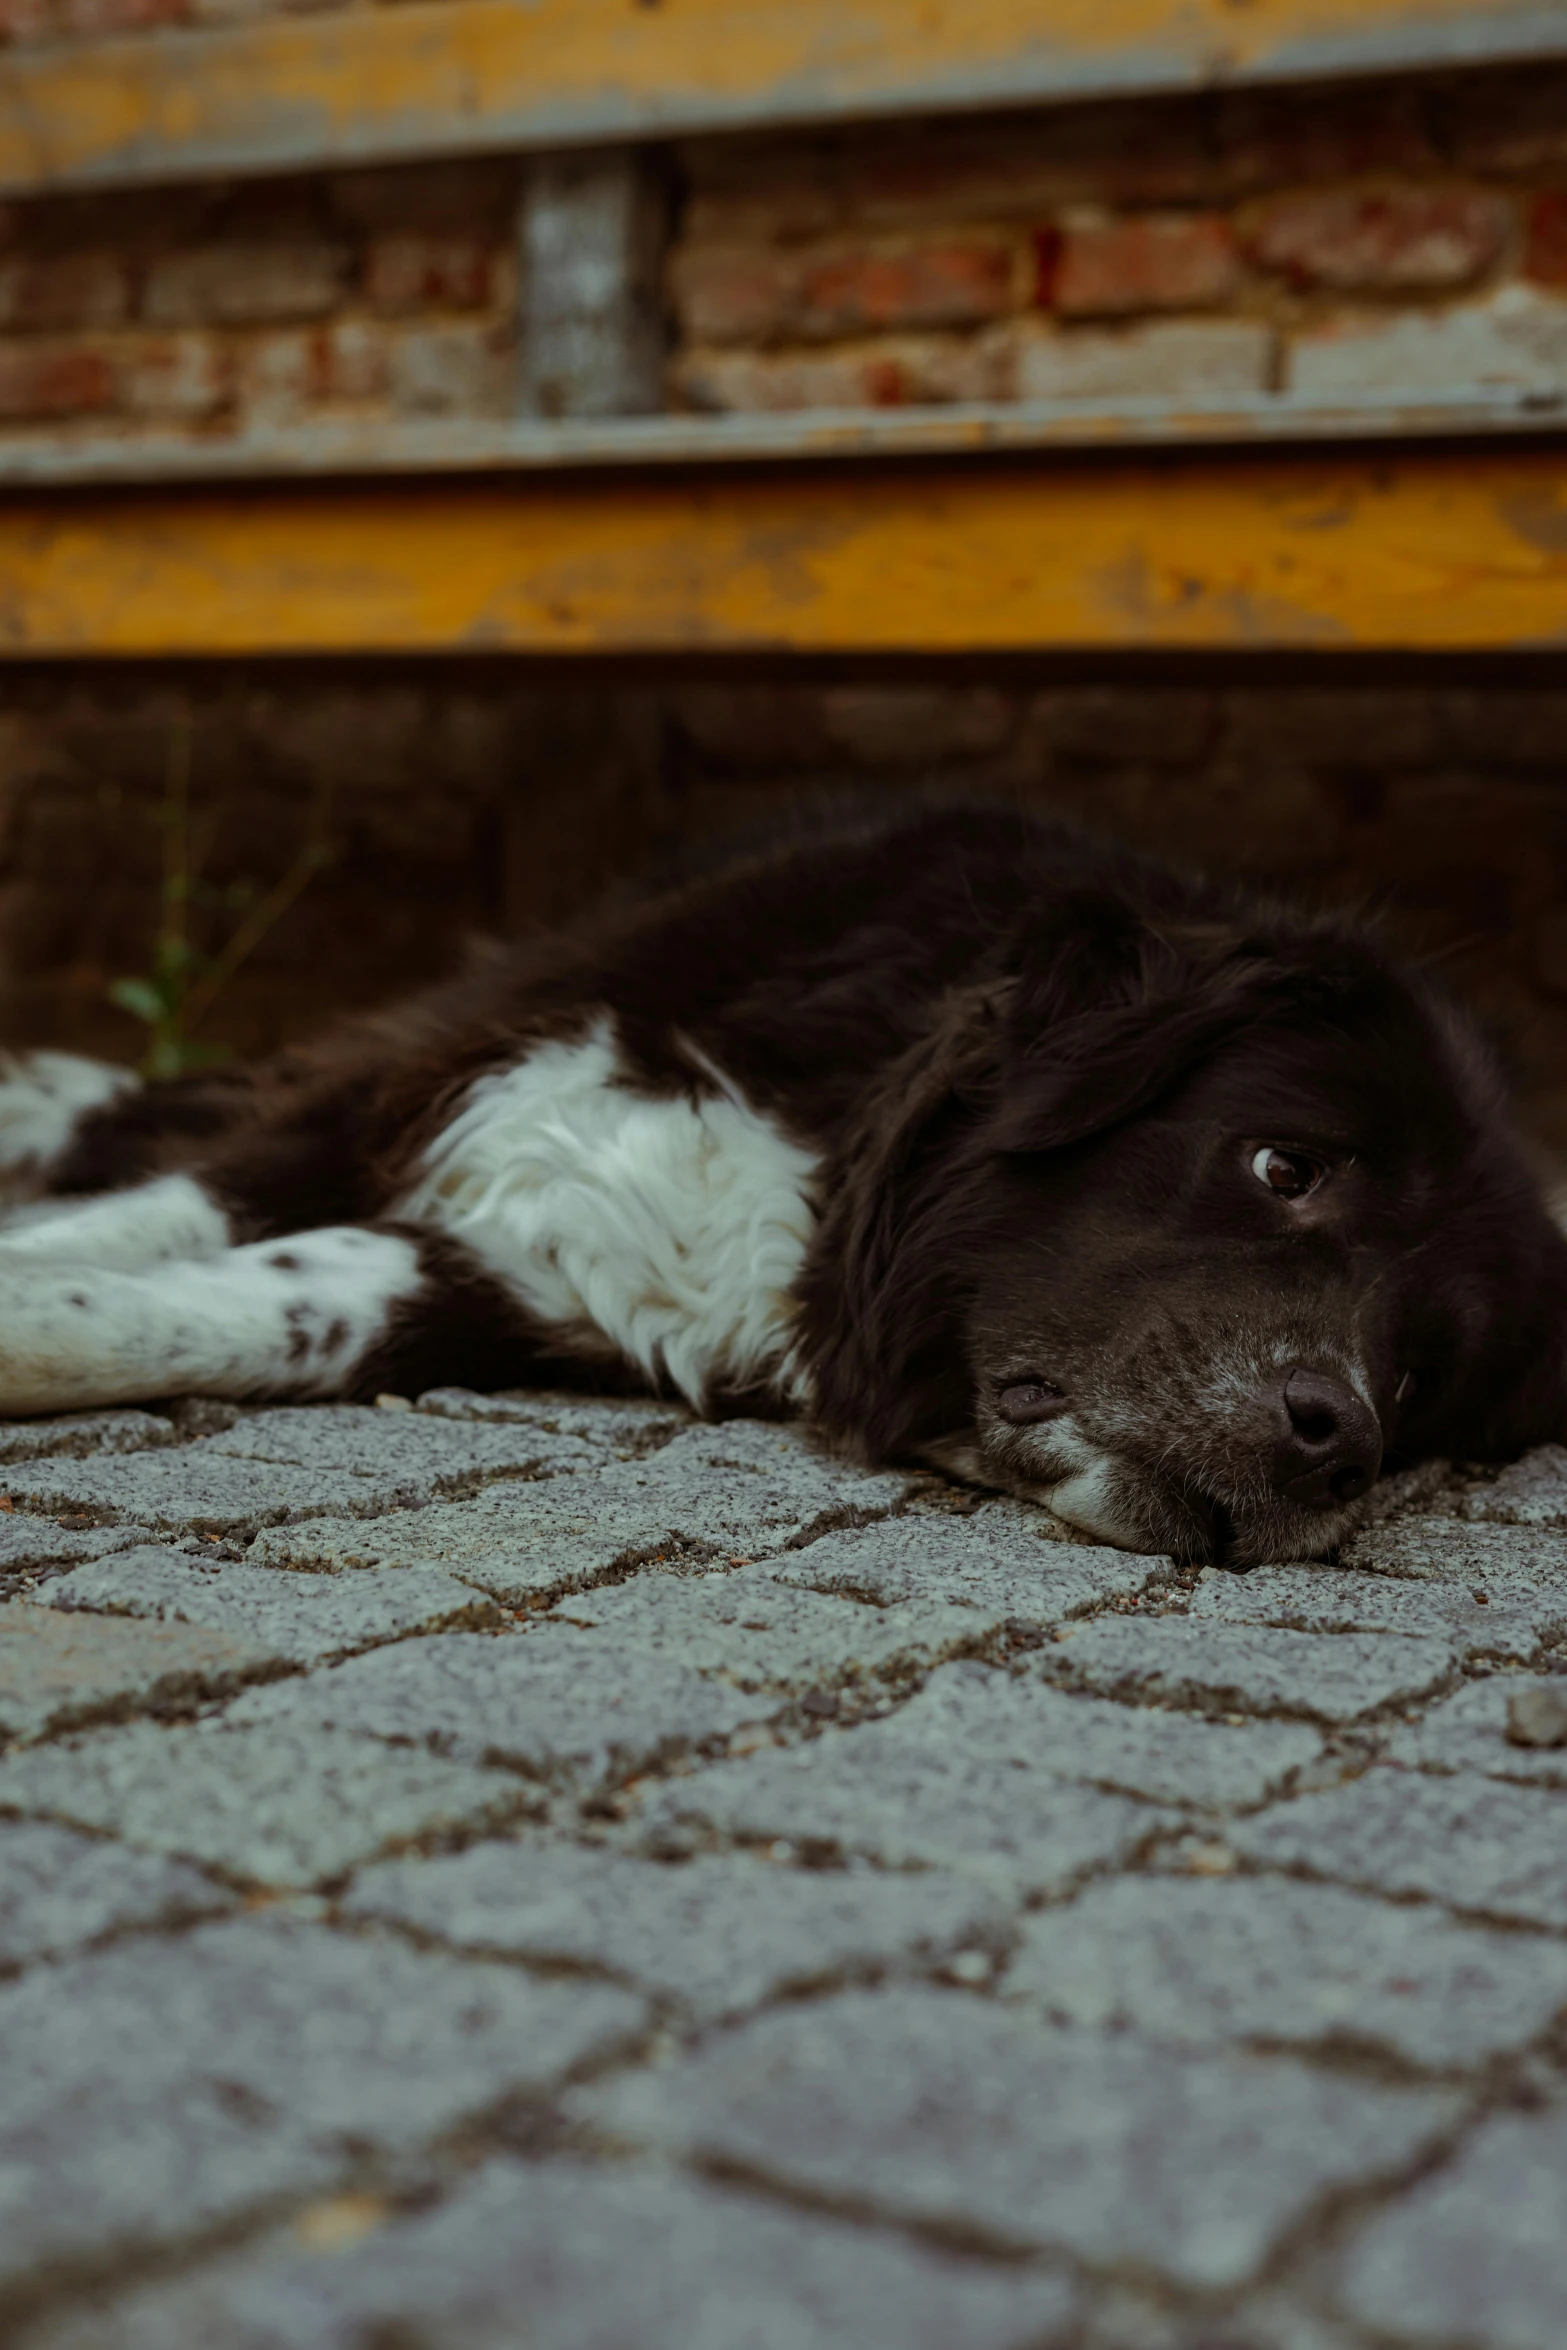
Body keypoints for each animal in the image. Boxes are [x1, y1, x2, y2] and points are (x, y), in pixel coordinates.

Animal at [0, 798, 1559, 1569]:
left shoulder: (516, 1280)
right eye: (1282, 1164)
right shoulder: (425, 1088)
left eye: (1418, 1377)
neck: (828, 1147)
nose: (1333, 1442)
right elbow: (178, 1204)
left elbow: (245, 1305)